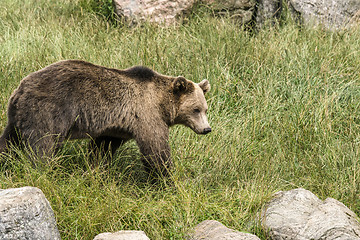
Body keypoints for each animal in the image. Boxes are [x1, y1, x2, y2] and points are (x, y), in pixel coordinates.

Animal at [0, 60, 211, 176]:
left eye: (205, 109)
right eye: (196, 109)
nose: (207, 129)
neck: (162, 103)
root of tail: (20, 89)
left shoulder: (116, 127)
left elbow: (102, 148)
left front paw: (95, 168)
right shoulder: (146, 114)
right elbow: (155, 149)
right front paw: (166, 178)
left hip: (19, 117)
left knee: (9, 142)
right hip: (48, 110)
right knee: (44, 144)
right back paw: (42, 169)